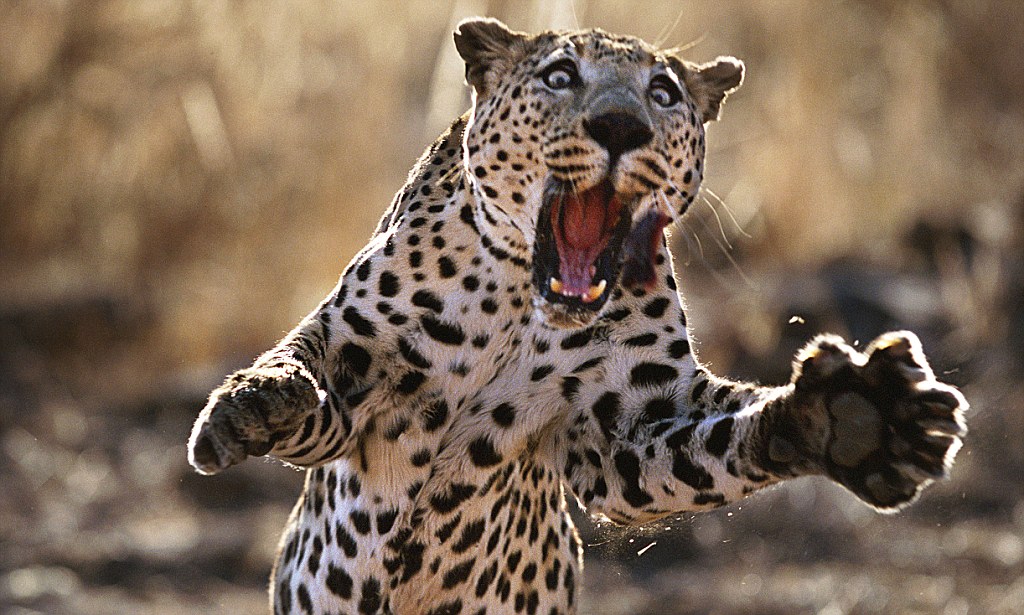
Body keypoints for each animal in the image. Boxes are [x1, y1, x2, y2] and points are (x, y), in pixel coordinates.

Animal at [187, 18, 968, 615]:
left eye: (663, 93)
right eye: (561, 76)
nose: (619, 125)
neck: (519, 311)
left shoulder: (633, 421)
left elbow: (724, 437)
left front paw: (859, 418)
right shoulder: (360, 359)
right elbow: (300, 368)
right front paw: (248, 408)